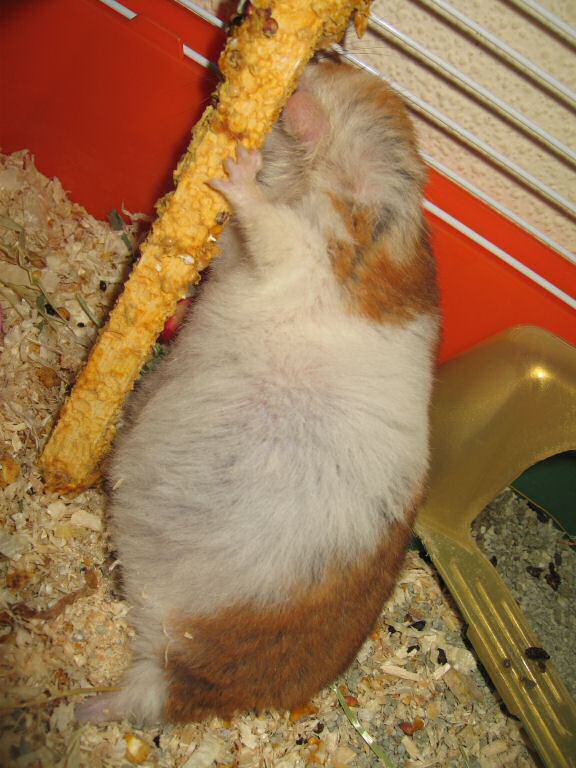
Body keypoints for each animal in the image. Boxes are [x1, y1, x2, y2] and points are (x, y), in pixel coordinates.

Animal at [77, 60, 440, 725]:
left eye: (332, 63)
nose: (317, 56)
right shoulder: (248, 257)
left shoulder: (308, 248)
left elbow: (269, 222)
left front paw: (236, 169)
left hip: (182, 647)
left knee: (145, 695)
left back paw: (72, 711)